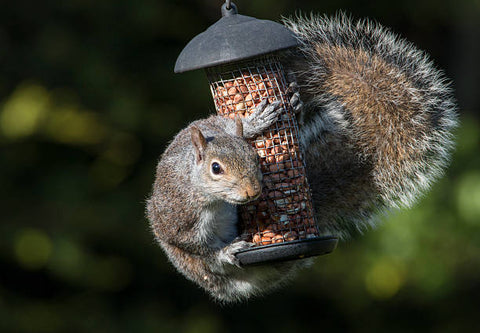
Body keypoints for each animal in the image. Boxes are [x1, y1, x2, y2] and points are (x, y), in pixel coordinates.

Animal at [145, 14, 458, 302]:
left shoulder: (214, 125)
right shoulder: (179, 218)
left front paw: (257, 122)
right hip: (195, 267)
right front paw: (226, 251)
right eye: (215, 168)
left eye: (254, 158)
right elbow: (197, 247)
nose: (252, 191)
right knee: (209, 265)